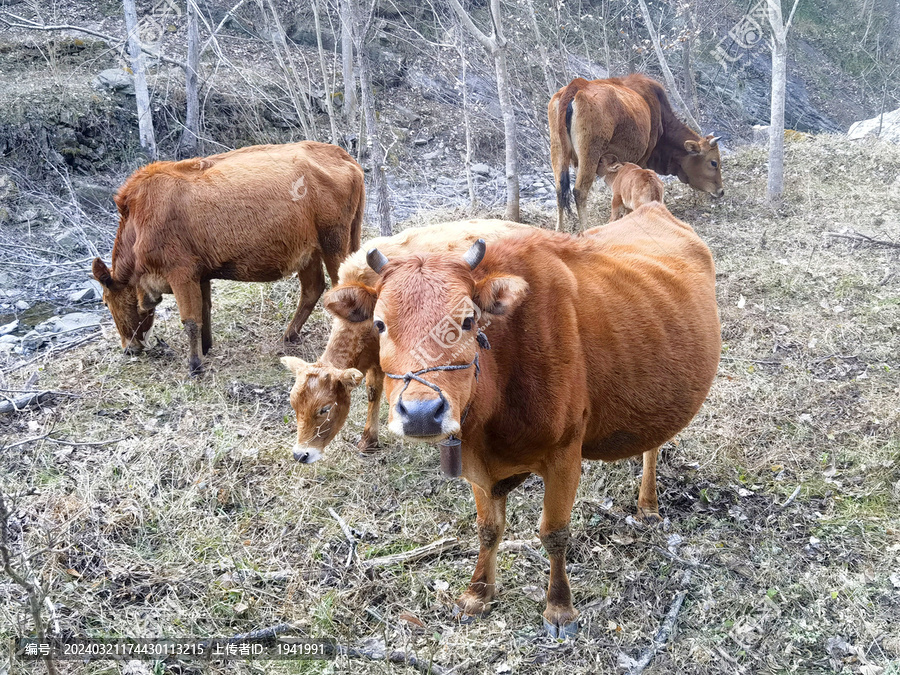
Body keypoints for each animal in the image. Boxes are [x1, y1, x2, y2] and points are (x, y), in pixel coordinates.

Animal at [93, 142, 364, 374]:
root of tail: (342, 155)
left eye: (106, 302)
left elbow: (190, 320)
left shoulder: (181, 274)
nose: (128, 349)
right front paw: (205, 348)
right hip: (309, 251)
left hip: (333, 243)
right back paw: (289, 335)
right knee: (313, 288)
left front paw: (194, 365)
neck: (138, 224)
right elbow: (204, 311)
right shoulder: (200, 275)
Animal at [326, 203, 720, 636]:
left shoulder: (565, 455)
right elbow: (488, 529)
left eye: (468, 321)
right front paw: (478, 593)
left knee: (653, 446)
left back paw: (647, 503)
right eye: (379, 324)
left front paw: (560, 607)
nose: (421, 413)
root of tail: (654, 208)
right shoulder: (477, 465)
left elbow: (554, 533)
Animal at [548, 74, 724, 232]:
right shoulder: (642, 159)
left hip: (557, 151)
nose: (721, 191)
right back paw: (585, 229)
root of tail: (577, 85)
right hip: (590, 155)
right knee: (579, 191)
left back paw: (559, 231)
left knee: (559, 191)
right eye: (713, 162)